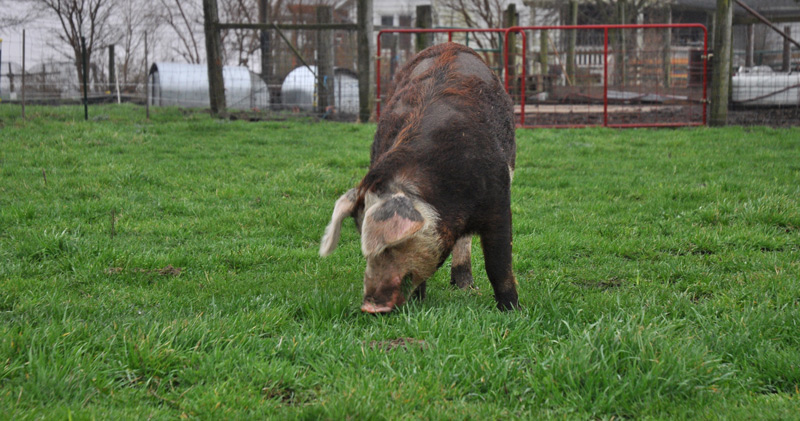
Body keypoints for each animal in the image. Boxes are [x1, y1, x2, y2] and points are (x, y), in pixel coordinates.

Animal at [319, 42, 518, 313]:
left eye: (393, 244)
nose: (369, 307)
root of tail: (451, 44)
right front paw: (417, 305)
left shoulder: (498, 198)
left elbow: (499, 264)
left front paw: (513, 311)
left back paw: (466, 287)